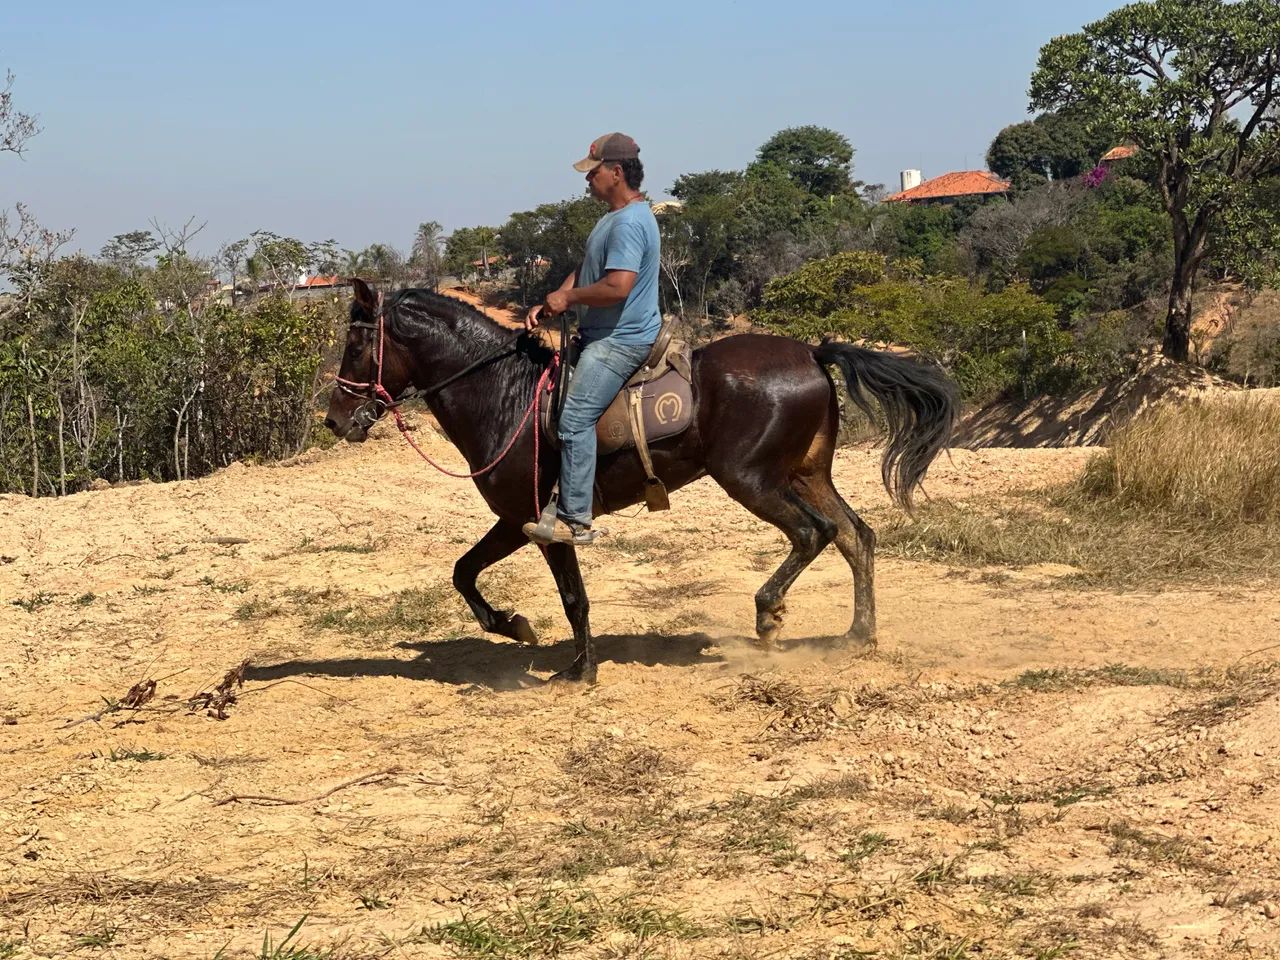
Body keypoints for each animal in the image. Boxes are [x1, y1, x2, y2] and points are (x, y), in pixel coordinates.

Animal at [324, 278, 958, 683]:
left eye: (355, 344)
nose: (334, 420)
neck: (506, 396)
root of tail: (811, 352)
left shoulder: (541, 522)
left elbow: (572, 597)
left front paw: (579, 669)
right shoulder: (514, 519)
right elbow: (463, 572)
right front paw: (513, 625)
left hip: (749, 480)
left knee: (814, 534)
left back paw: (768, 614)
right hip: (804, 475)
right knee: (856, 536)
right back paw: (857, 636)